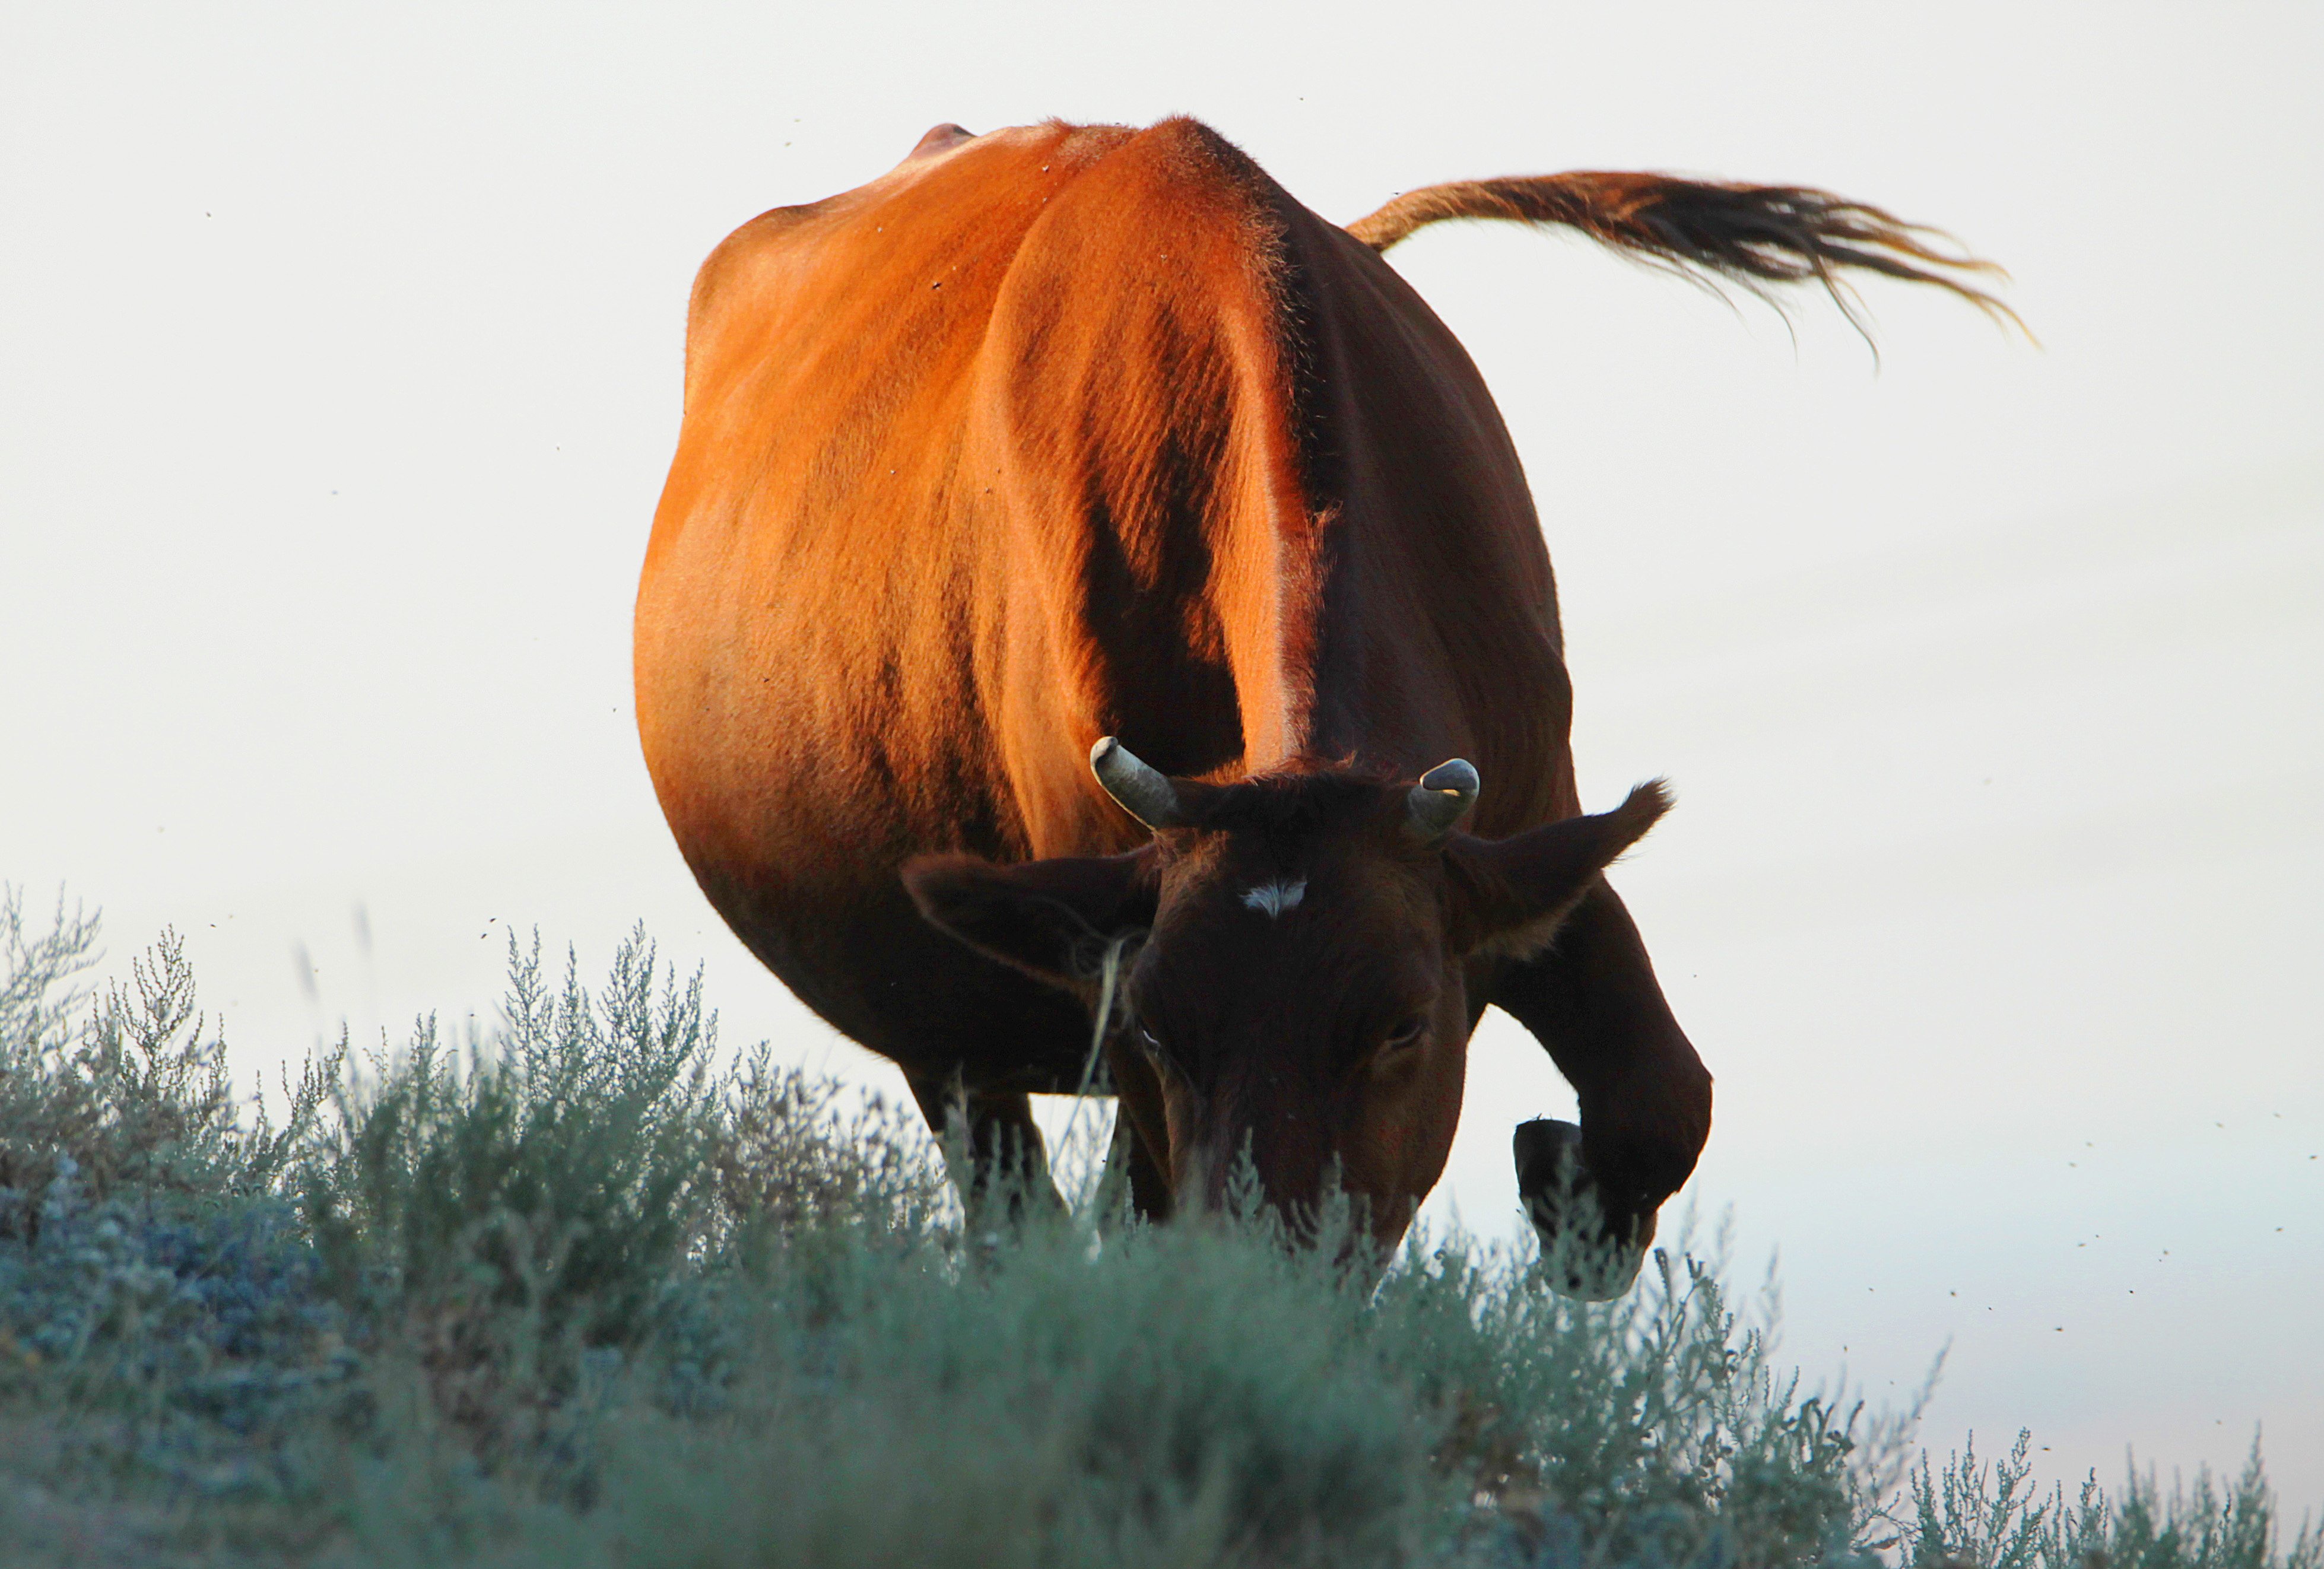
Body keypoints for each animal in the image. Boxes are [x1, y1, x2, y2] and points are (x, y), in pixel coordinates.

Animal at [632, 113, 1998, 1292]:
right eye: (1159, 1029)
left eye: (1399, 1024)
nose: (1264, 1286)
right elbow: (1148, 1202)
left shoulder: (1530, 839)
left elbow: (1661, 1094)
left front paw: (1561, 1181)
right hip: (935, 1020)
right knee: (1016, 1199)